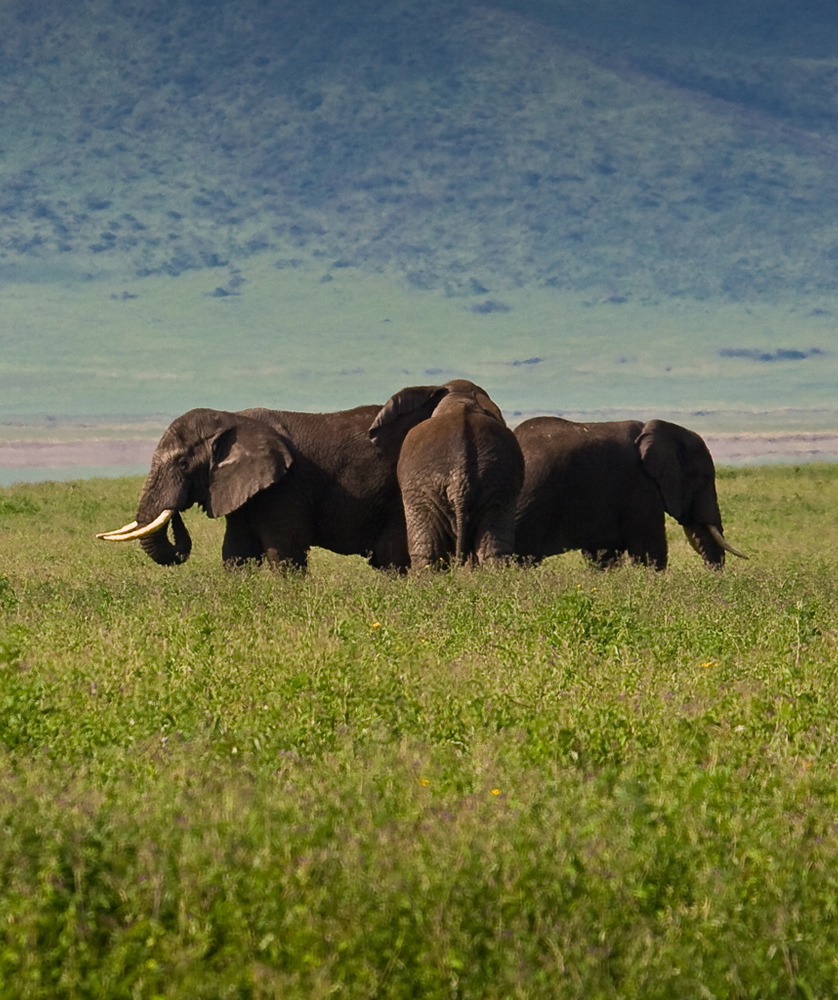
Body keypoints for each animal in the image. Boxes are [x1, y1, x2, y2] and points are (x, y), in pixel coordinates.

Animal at [97, 403, 441, 570]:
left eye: (182, 463)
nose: (177, 512)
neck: (231, 419)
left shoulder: (284, 486)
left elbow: (284, 552)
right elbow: (236, 553)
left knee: (392, 559)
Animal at [369, 379, 525, 568]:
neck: (458, 396)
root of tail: (461, 482)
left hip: (423, 492)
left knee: (427, 552)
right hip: (499, 485)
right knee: (494, 551)